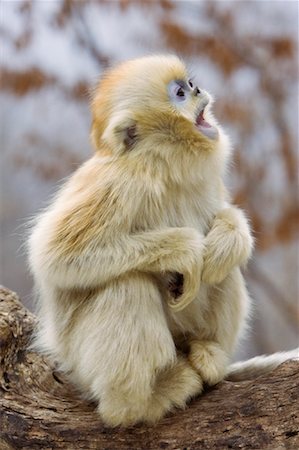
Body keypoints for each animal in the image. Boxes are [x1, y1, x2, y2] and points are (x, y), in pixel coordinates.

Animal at [27, 55, 298, 426]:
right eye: (180, 94)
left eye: (189, 84)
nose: (197, 89)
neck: (162, 163)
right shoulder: (118, 182)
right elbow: (55, 257)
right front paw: (184, 249)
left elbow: (226, 225)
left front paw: (226, 239)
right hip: (82, 364)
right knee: (127, 285)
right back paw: (138, 402)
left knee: (223, 269)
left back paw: (207, 352)